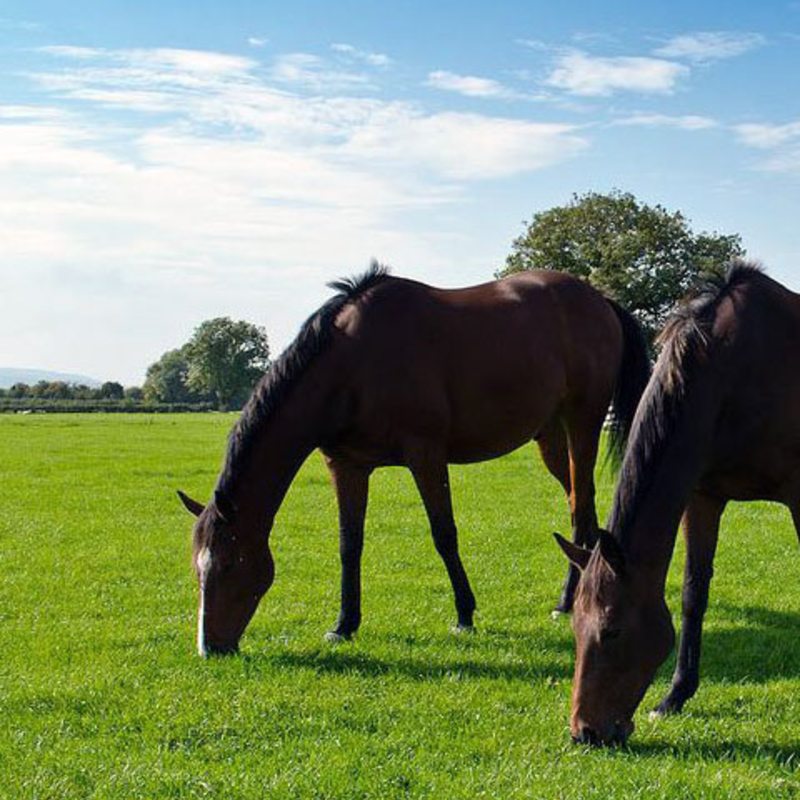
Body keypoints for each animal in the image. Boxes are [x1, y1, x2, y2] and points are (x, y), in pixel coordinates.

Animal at [178, 262, 648, 656]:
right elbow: (350, 544)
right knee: (578, 505)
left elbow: (444, 535)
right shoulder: (346, 465)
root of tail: (598, 299)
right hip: (550, 437)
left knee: (581, 509)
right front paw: (344, 624)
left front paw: (464, 614)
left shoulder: (426, 456)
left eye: (228, 565)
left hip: (582, 423)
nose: (210, 648)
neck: (352, 363)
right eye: (197, 568)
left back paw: (566, 602)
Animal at [556, 266, 800, 748]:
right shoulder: (702, 497)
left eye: (611, 630)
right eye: (575, 626)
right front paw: (675, 695)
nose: (585, 732)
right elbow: (693, 593)